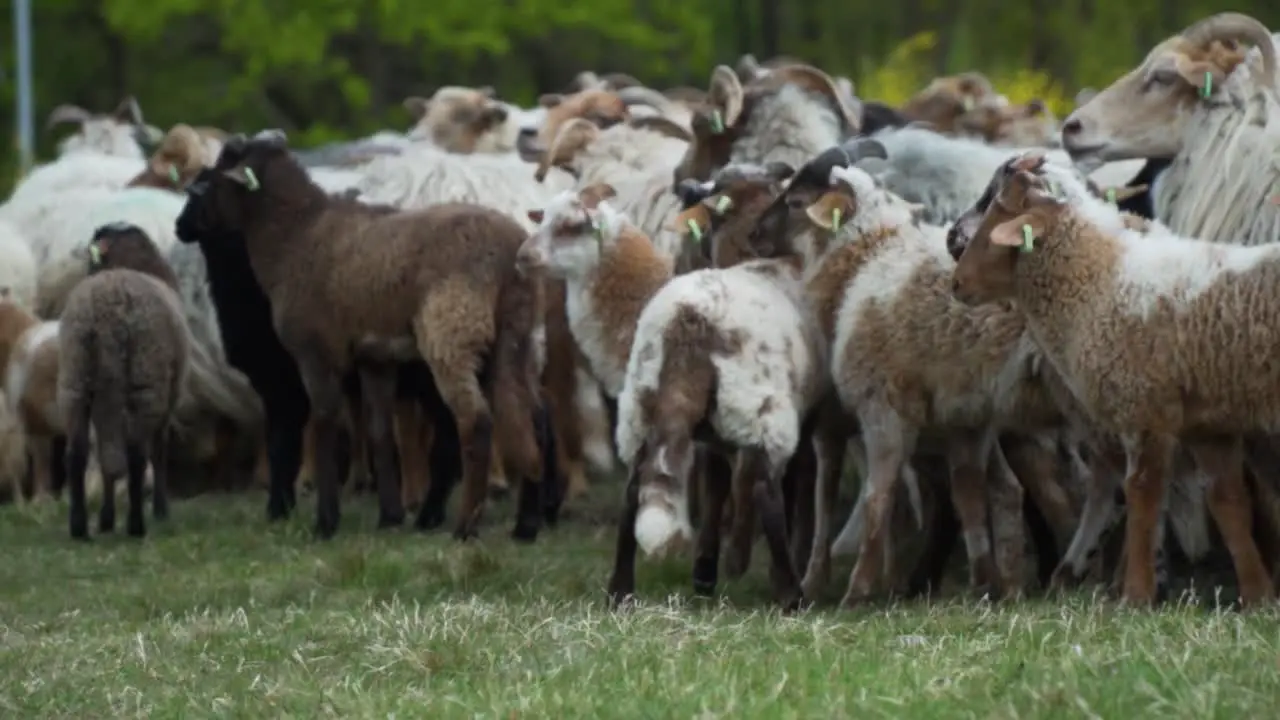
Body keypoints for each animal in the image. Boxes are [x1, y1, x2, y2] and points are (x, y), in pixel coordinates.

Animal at [58, 221, 189, 535]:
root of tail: (106, 312)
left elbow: (107, 463)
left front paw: (106, 518)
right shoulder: (168, 400)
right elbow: (159, 451)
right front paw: (161, 509)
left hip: (75, 379)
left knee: (77, 453)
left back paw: (79, 526)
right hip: (145, 380)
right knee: (137, 455)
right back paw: (136, 524)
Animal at [189, 128, 545, 538]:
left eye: (214, 176)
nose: (183, 227)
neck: (296, 234)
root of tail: (509, 251)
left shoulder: (315, 352)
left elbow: (323, 423)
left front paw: (325, 522)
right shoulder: (375, 357)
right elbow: (379, 431)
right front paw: (389, 516)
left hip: (452, 332)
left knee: (476, 420)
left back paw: (464, 526)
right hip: (515, 335)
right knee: (529, 419)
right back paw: (526, 524)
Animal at [952, 158, 1280, 604]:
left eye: (997, 215)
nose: (956, 282)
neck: (1099, 280)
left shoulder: (1144, 409)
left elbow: (1142, 494)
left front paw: (1135, 594)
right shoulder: (1209, 424)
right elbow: (1229, 503)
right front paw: (1258, 596)